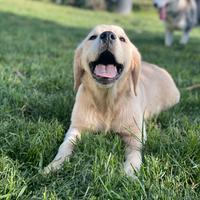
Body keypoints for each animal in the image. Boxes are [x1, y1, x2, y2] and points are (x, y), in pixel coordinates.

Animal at [43, 24, 180, 177]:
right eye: (92, 37)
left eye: (122, 39)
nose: (108, 35)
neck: (107, 101)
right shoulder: (76, 127)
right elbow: (66, 145)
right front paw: (54, 165)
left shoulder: (135, 134)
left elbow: (135, 153)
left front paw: (129, 173)